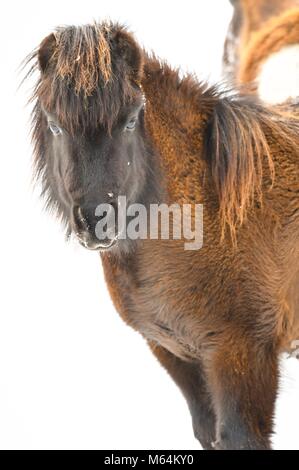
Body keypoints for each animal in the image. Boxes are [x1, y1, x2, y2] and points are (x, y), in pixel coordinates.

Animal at [24, 23, 299, 452]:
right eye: (55, 123)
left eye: (131, 119)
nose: (97, 221)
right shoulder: (175, 353)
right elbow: (207, 431)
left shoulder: (243, 354)